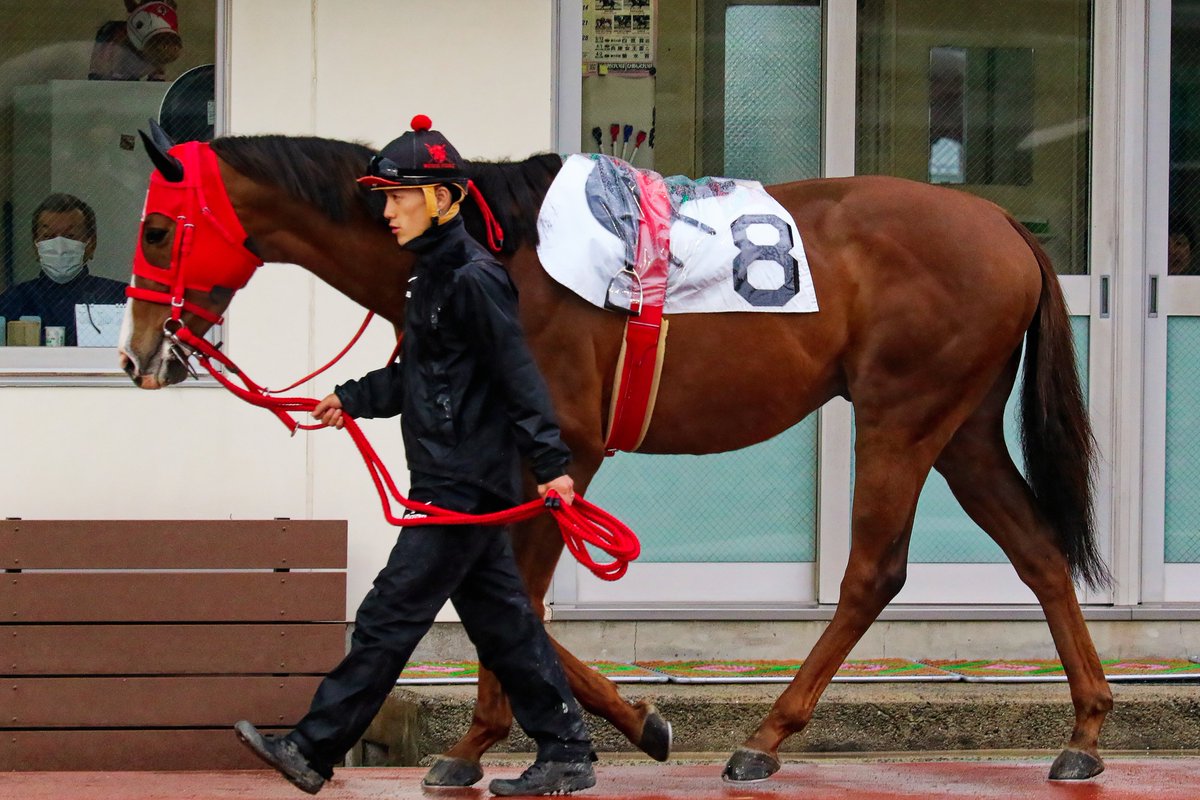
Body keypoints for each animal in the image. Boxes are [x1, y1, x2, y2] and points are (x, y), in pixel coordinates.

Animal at [119, 129, 1113, 784]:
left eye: (158, 230)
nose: (135, 355)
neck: (493, 250)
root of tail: (1003, 225)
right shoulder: (501, 466)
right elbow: (493, 597)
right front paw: (629, 720)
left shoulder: (567, 449)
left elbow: (514, 602)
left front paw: (489, 744)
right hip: (964, 427)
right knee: (1037, 550)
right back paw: (1086, 732)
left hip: (902, 416)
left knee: (875, 571)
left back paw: (766, 736)